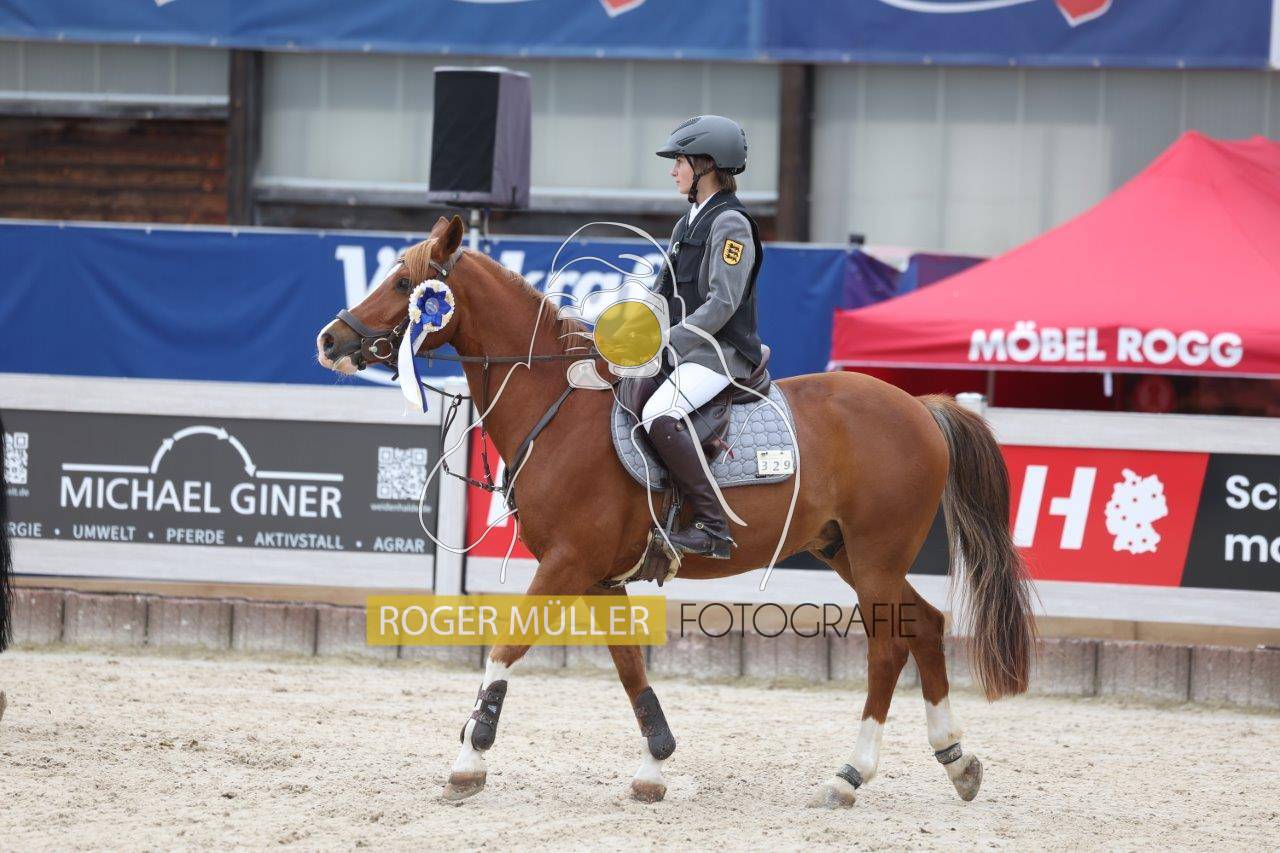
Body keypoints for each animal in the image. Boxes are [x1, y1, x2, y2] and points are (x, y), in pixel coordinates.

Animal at [315, 215, 1034, 808]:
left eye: (404, 281)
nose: (329, 339)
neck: (555, 402)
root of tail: (921, 407)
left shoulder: (565, 562)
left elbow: (506, 646)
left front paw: (470, 757)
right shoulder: (600, 576)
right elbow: (630, 666)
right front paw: (654, 767)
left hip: (876, 557)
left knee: (889, 646)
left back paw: (850, 774)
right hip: (848, 553)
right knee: (925, 626)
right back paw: (956, 759)